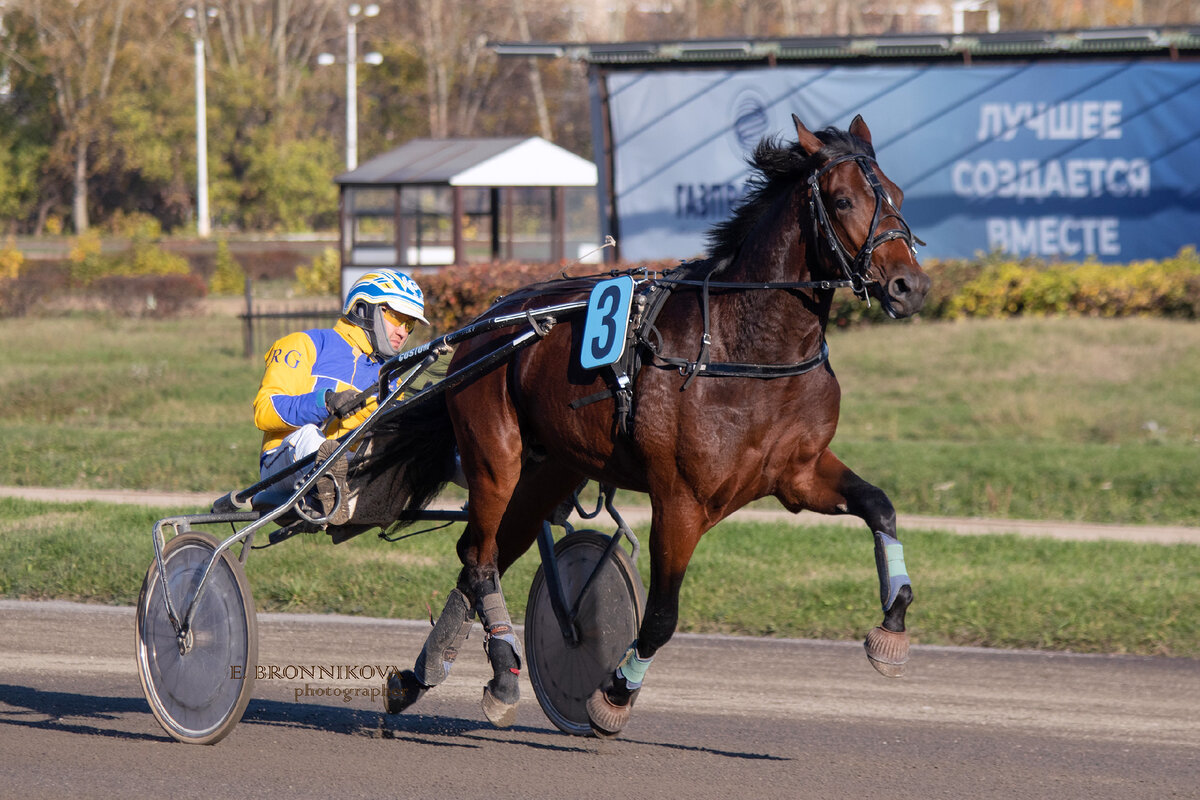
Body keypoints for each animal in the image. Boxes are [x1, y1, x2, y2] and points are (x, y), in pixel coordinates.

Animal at [381, 113, 926, 738]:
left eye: (898, 195)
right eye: (842, 200)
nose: (910, 286)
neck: (746, 349)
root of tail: (490, 318)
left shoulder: (799, 474)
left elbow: (880, 506)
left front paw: (892, 626)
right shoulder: (680, 499)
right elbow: (662, 616)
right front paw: (613, 693)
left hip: (549, 469)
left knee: (486, 555)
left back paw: (419, 677)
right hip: (495, 456)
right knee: (479, 556)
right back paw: (499, 678)